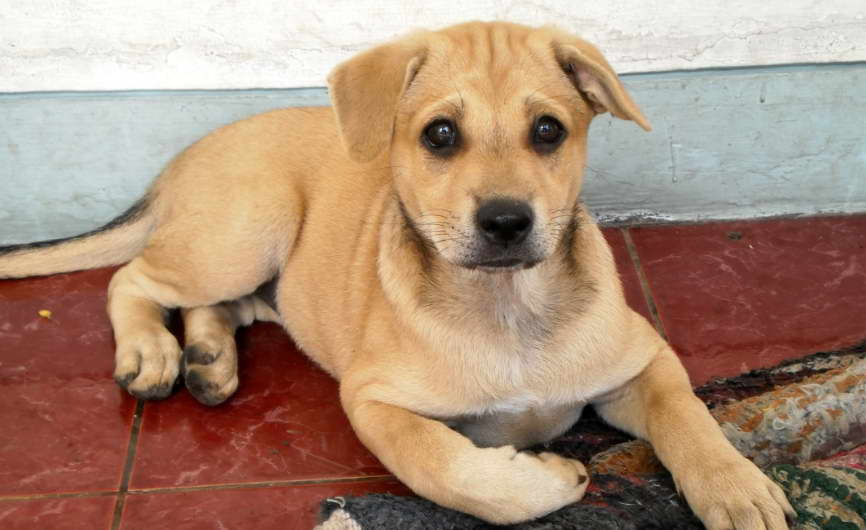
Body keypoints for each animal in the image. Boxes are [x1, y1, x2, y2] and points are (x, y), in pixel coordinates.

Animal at [1, 21, 796, 528]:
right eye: (440, 135)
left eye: (549, 131)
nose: (506, 222)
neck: (509, 306)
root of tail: (183, 159)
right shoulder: (373, 401)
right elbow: (448, 467)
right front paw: (545, 477)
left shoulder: (642, 360)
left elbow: (690, 416)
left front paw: (738, 488)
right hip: (246, 229)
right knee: (131, 279)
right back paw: (153, 352)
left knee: (221, 307)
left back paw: (208, 358)